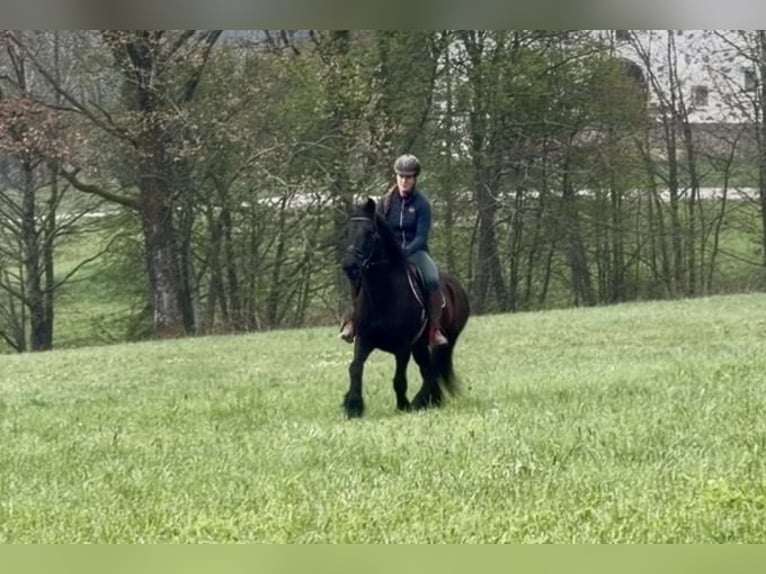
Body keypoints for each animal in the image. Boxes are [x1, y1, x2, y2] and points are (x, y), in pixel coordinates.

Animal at [340, 197, 470, 418]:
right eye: (348, 230)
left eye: (370, 232)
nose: (350, 266)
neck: (383, 295)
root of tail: (457, 287)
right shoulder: (364, 339)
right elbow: (355, 367)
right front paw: (353, 406)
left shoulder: (402, 347)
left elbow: (399, 378)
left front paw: (403, 405)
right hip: (420, 345)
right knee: (428, 368)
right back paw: (431, 400)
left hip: (447, 340)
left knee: (433, 369)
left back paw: (422, 400)